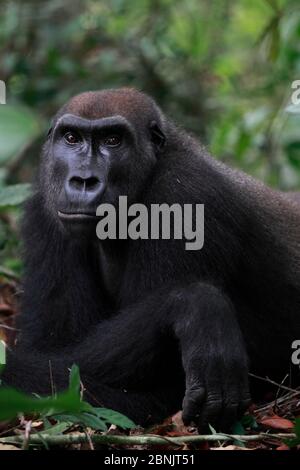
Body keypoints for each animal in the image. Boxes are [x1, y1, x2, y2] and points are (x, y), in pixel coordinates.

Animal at [1, 88, 300, 430]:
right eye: (71, 138)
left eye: (113, 140)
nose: (83, 180)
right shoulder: (46, 208)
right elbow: (51, 349)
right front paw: (194, 305)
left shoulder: (183, 196)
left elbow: (153, 391)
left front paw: (191, 304)